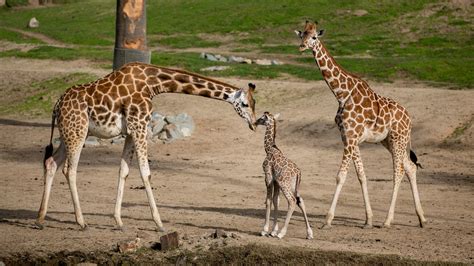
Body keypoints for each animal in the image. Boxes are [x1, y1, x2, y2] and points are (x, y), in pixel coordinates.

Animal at [36, 61, 260, 231]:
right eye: (245, 104)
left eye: (254, 104)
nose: (254, 124)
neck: (153, 84)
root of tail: (56, 106)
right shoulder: (139, 125)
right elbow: (146, 173)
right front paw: (159, 223)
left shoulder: (131, 130)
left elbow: (124, 171)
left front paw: (119, 221)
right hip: (77, 132)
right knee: (70, 169)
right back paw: (81, 222)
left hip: (69, 133)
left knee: (51, 163)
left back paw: (40, 218)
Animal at [258, 111, 312, 240]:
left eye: (262, 118)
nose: (255, 122)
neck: (269, 148)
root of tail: (298, 173)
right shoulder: (276, 181)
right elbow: (275, 200)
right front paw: (273, 231)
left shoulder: (268, 177)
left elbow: (268, 200)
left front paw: (265, 230)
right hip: (293, 185)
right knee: (300, 200)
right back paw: (309, 233)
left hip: (285, 184)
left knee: (292, 201)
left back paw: (282, 233)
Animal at [296, 20, 426, 229]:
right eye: (302, 35)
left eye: (314, 37)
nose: (301, 46)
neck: (341, 94)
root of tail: (410, 118)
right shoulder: (349, 138)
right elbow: (361, 176)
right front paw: (368, 220)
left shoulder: (350, 138)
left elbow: (340, 176)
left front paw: (327, 220)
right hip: (388, 141)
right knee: (410, 167)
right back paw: (422, 218)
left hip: (399, 138)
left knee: (398, 171)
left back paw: (388, 221)